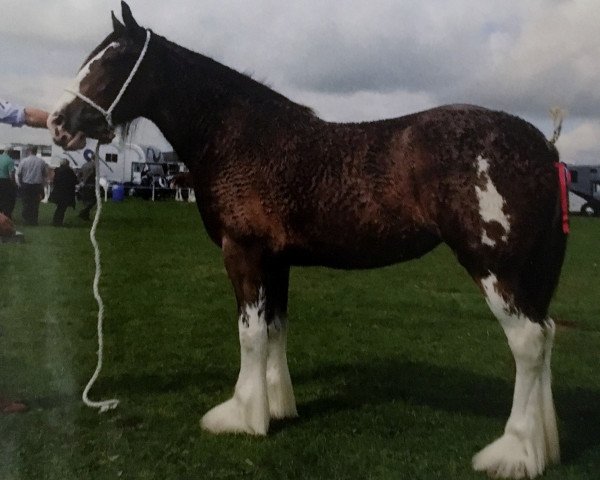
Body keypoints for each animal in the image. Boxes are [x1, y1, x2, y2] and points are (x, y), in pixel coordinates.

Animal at [47, 2, 568, 476]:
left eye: (112, 61)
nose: (57, 122)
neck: (240, 139)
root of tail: (542, 147)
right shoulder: (277, 262)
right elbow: (275, 328)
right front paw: (275, 408)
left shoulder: (244, 253)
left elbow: (250, 333)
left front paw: (241, 416)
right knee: (545, 336)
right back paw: (541, 450)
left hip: (494, 267)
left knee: (528, 342)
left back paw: (512, 453)